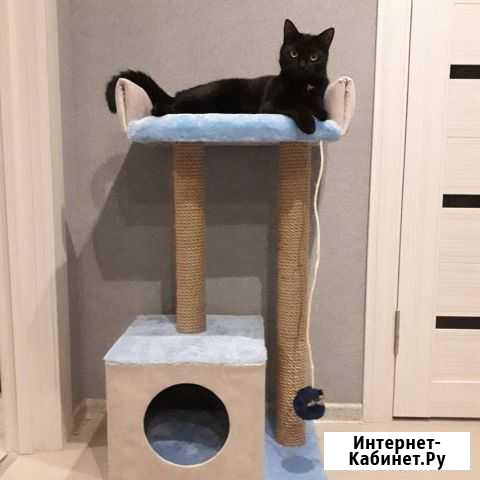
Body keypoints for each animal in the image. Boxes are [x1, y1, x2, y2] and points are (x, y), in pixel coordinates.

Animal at [105, 19, 334, 134]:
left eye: (314, 57)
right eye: (293, 53)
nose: (302, 65)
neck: (302, 84)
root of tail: (178, 94)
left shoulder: (318, 95)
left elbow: (322, 111)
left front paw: (317, 112)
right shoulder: (269, 105)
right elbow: (296, 106)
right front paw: (309, 124)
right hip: (205, 97)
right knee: (167, 107)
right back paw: (161, 109)